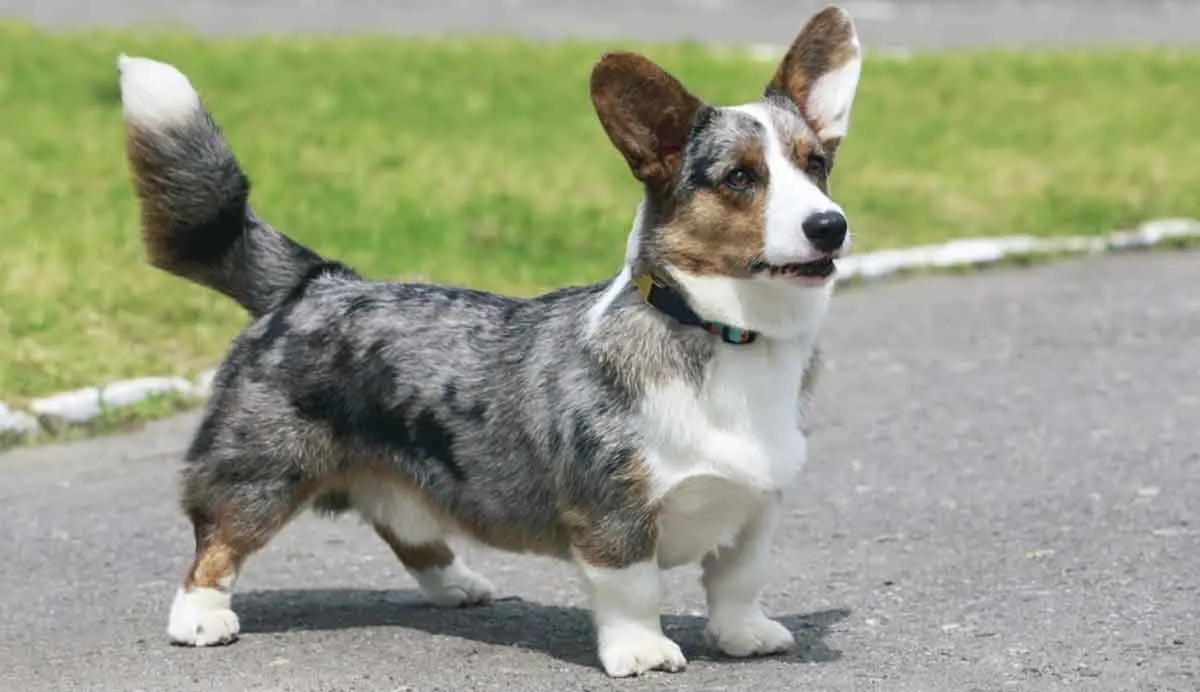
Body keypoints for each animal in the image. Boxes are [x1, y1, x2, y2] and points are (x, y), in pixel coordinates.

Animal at [114, 4, 864, 676]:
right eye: (740, 177)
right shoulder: (612, 513)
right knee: (218, 540)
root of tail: (313, 281)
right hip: (266, 469)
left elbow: (737, 581)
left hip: (401, 478)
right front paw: (643, 653)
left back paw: (459, 584)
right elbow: (634, 590)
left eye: (816, 165)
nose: (832, 226)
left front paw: (746, 636)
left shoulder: (755, 506)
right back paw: (201, 617)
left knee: (406, 529)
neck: (729, 334)